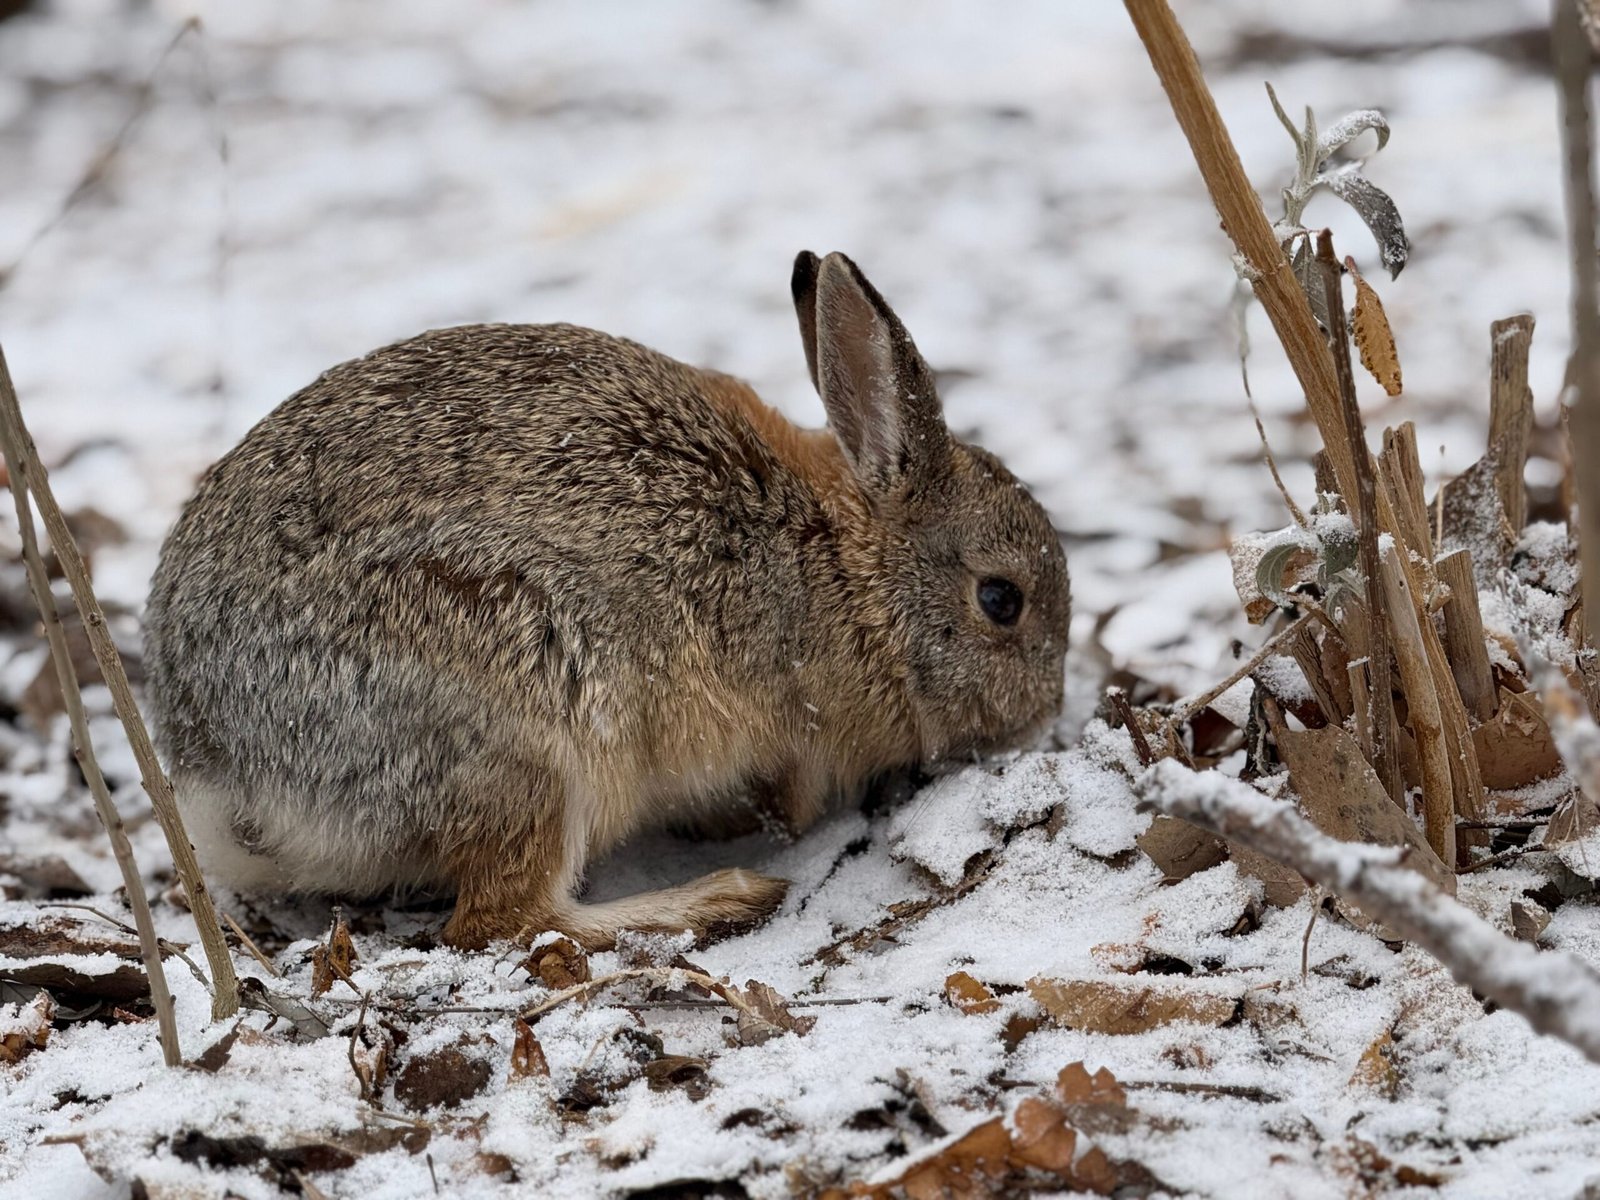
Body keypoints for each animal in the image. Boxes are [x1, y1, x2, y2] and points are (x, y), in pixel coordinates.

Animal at [142, 251, 1071, 950]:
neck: (852, 567)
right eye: (1001, 599)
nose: (1044, 710)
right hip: (532, 730)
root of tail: (224, 767)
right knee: (504, 919)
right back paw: (719, 898)